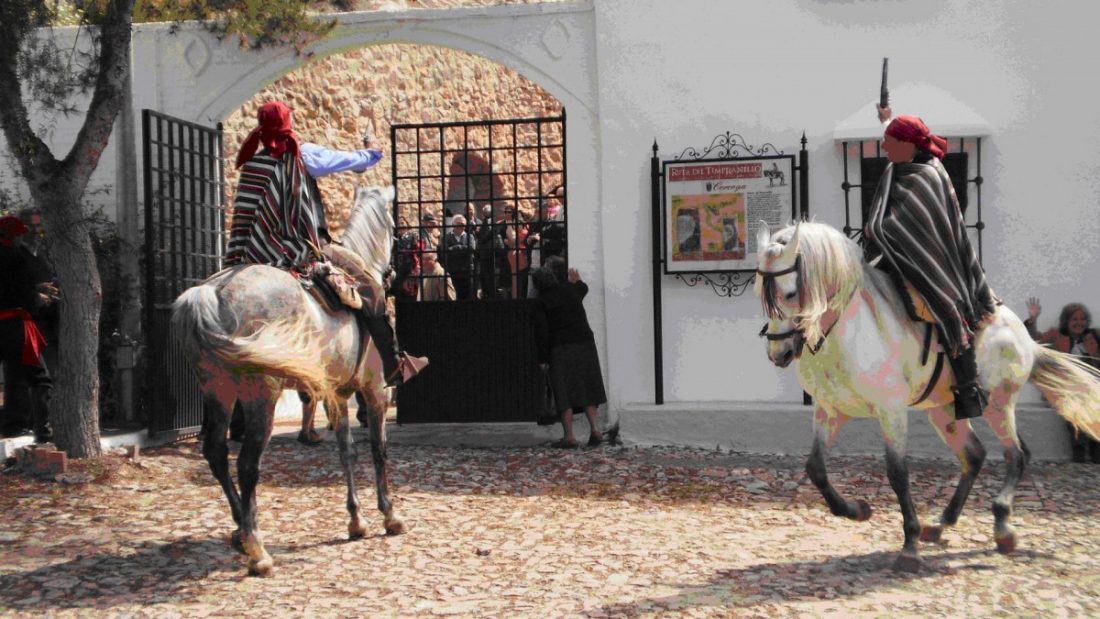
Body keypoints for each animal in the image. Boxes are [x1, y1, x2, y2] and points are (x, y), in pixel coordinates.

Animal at [167, 183, 400, 576]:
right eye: (394, 226)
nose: (393, 273)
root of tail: (210, 293)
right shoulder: (374, 392)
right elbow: (378, 450)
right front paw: (388, 515)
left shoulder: (337, 396)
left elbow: (347, 451)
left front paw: (356, 520)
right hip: (261, 398)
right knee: (247, 464)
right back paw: (257, 550)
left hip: (218, 392)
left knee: (215, 453)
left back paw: (240, 528)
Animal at [752, 219, 1100, 576]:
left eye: (790, 293)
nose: (779, 354)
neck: (846, 333)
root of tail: (1025, 337)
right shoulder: (829, 411)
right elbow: (816, 468)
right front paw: (857, 509)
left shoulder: (891, 412)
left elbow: (897, 474)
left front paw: (909, 546)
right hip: (943, 411)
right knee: (974, 455)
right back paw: (942, 523)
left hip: (998, 405)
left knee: (1016, 454)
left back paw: (1002, 527)